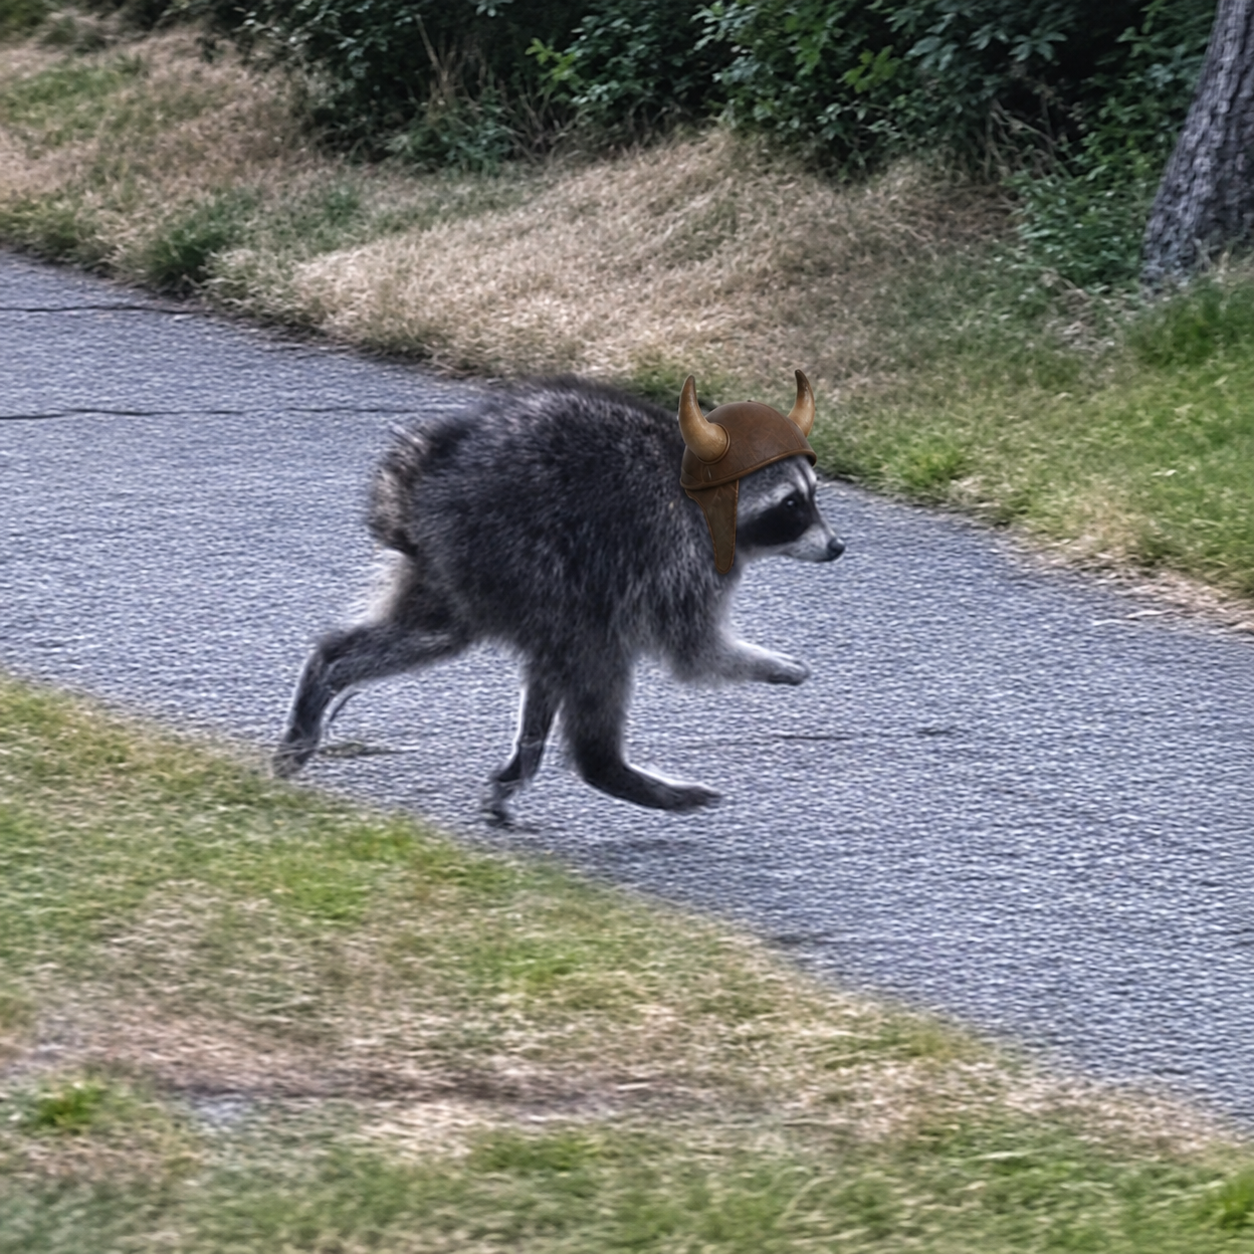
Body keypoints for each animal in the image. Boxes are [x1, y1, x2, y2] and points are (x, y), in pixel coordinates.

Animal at [274, 374, 844, 821]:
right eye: (791, 505)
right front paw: (770, 665)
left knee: (450, 634)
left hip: (458, 561)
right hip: (512, 546)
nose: (837, 547)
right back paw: (606, 767)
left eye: (812, 497)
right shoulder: (679, 556)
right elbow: (694, 651)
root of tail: (426, 465)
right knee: (592, 648)